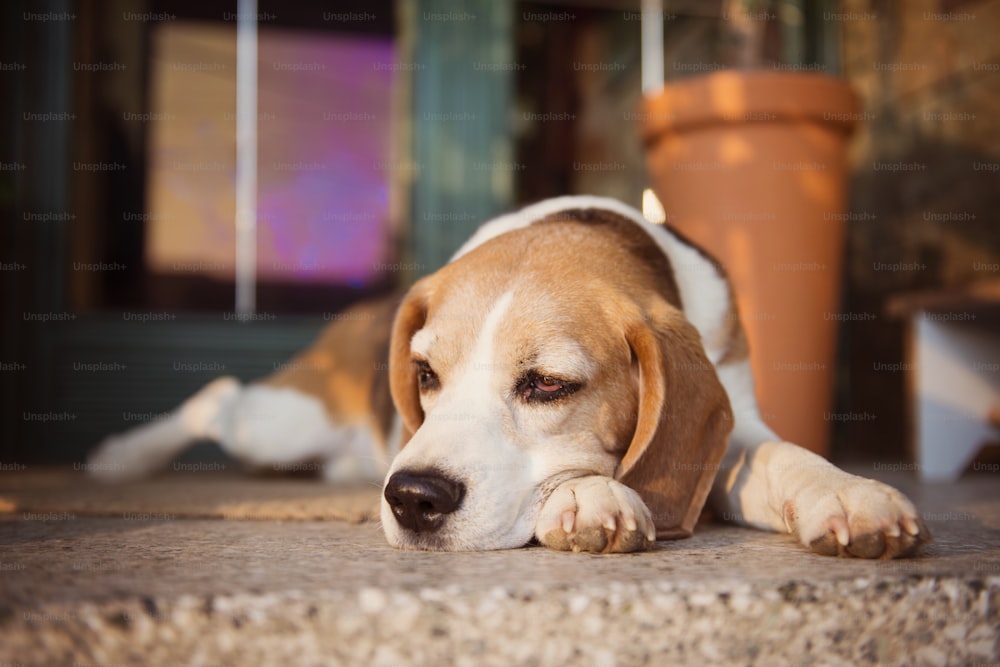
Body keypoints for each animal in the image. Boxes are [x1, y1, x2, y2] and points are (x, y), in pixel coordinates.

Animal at [90, 197, 932, 560]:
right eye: (424, 372)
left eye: (549, 384)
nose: (412, 497)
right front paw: (591, 495)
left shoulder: (734, 417)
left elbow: (783, 455)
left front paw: (847, 495)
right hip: (283, 421)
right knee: (216, 396)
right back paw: (119, 457)